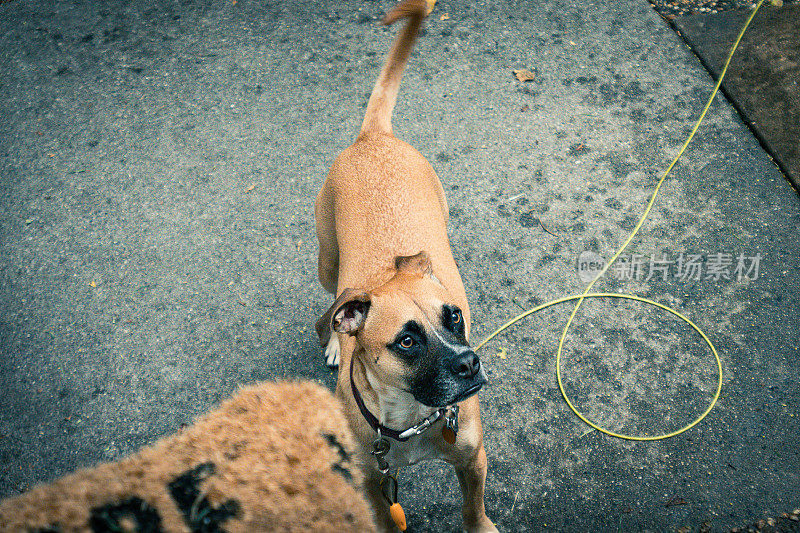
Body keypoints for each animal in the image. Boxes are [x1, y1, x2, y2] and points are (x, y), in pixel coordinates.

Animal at [314, 1, 496, 532]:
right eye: (408, 341)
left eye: (454, 317)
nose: (470, 363)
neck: (411, 418)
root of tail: (374, 136)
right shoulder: (373, 485)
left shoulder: (473, 461)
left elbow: (473, 509)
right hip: (327, 261)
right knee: (330, 307)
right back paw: (333, 340)